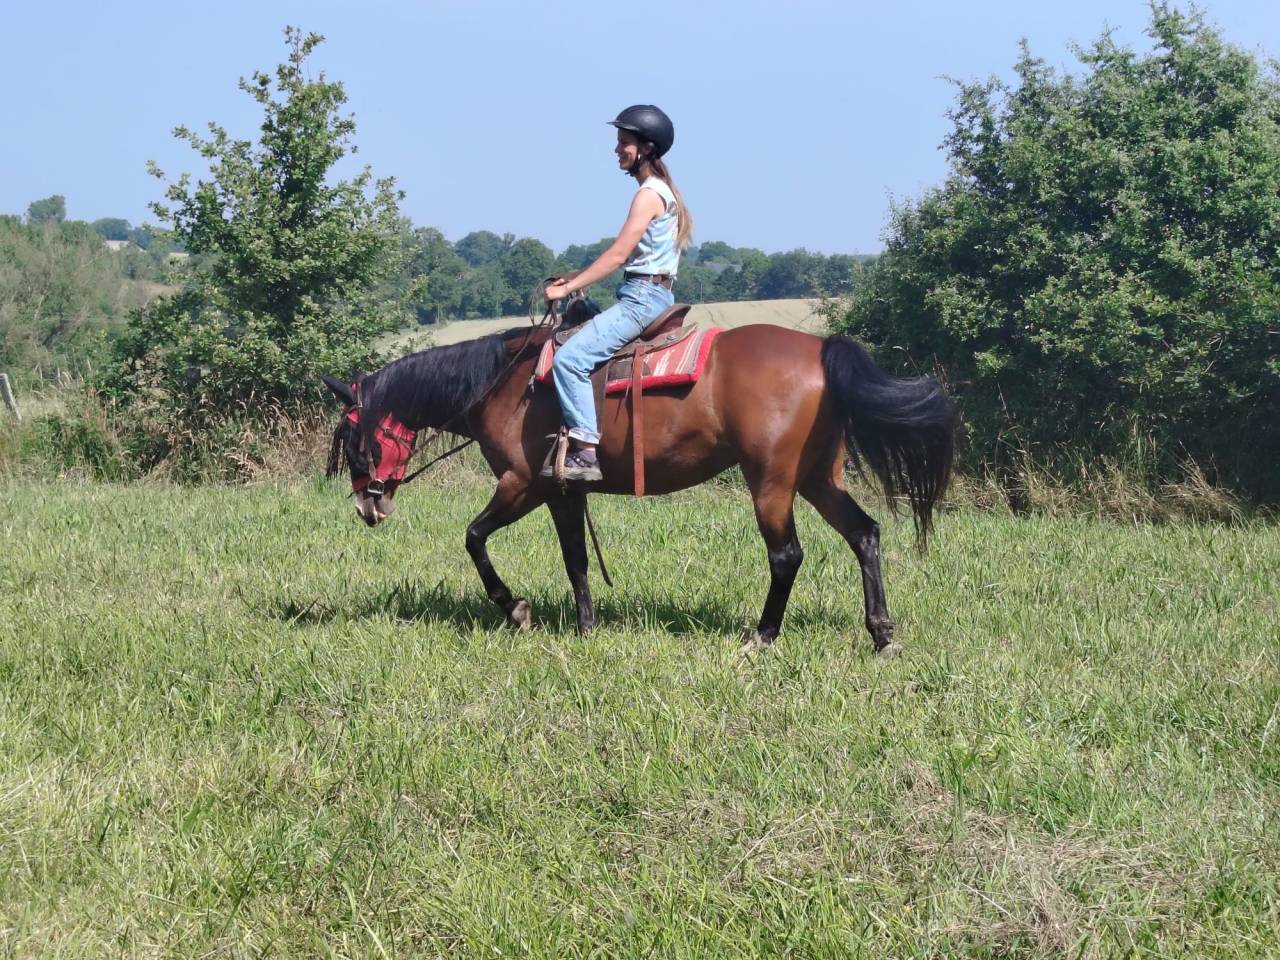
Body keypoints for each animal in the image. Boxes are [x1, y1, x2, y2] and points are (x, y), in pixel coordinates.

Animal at [323, 319, 956, 656]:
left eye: (352, 438)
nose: (366, 507)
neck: (506, 385)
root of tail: (820, 350)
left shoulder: (525, 484)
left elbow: (476, 538)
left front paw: (519, 609)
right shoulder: (564, 491)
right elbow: (576, 560)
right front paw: (585, 625)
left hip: (772, 482)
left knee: (787, 555)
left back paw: (762, 637)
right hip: (818, 478)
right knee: (865, 534)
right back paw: (882, 634)